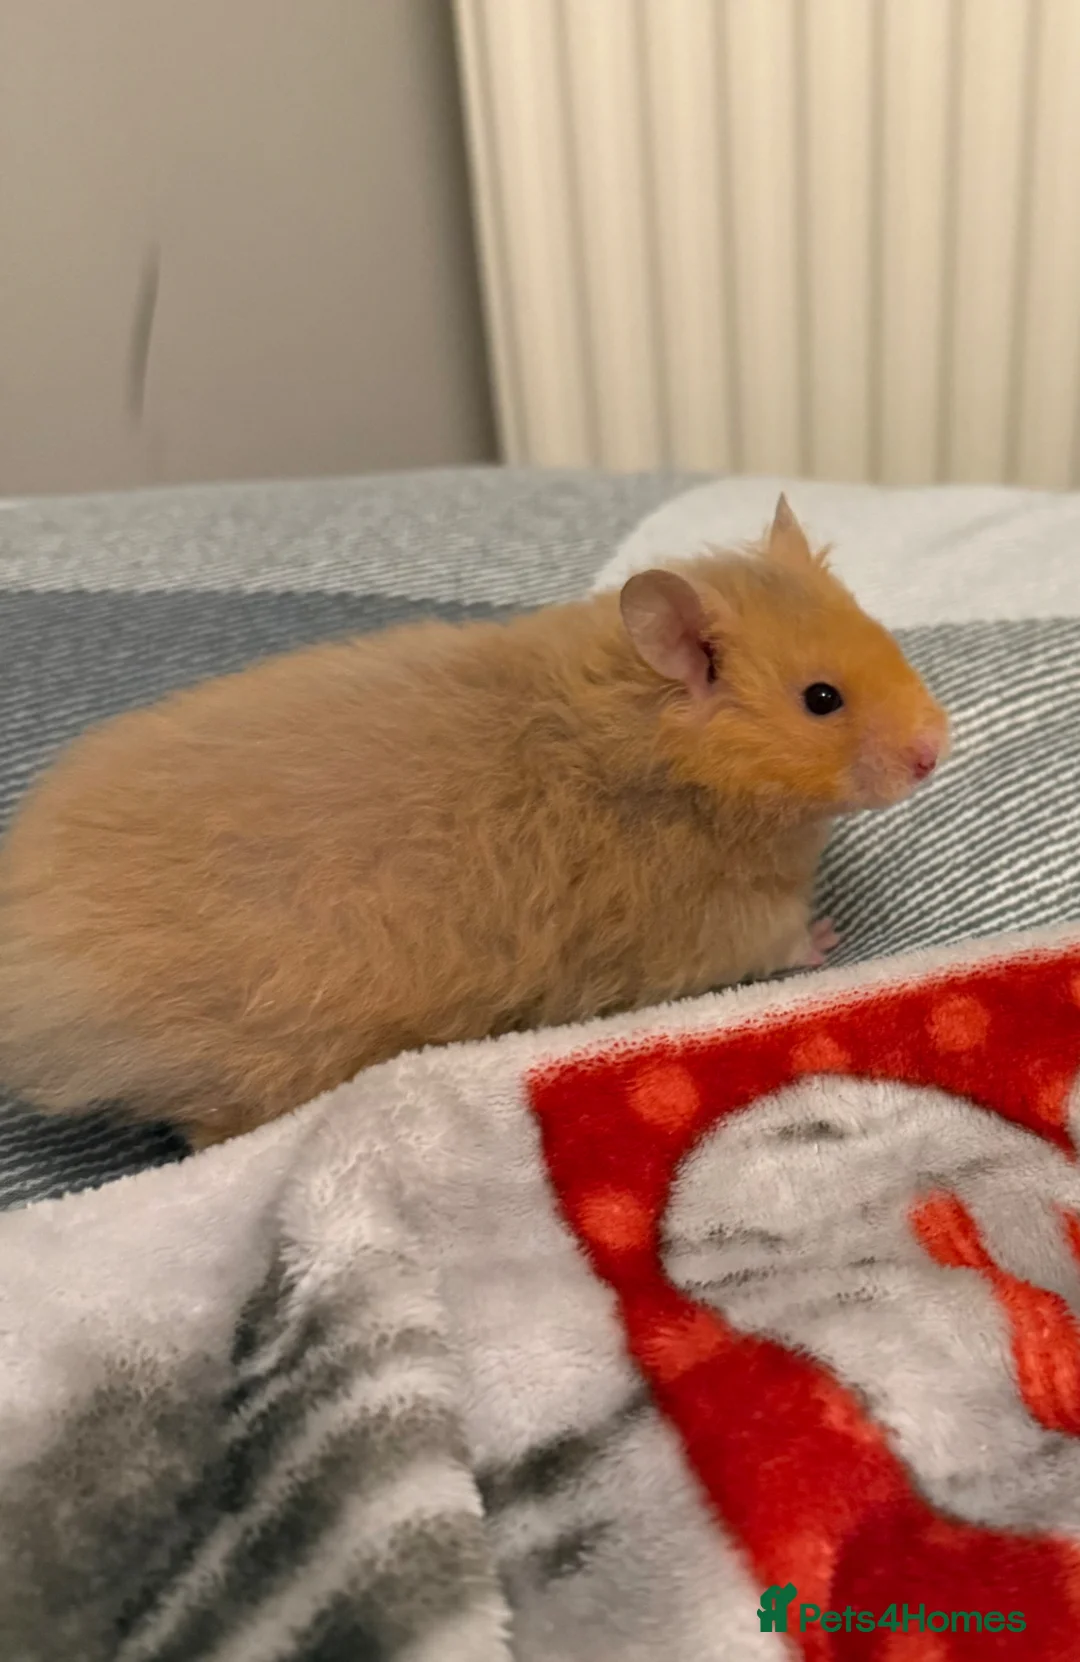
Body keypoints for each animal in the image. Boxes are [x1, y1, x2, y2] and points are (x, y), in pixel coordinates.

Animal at [0, 496, 948, 1148]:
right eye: (821, 699)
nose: (936, 749)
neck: (657, 745)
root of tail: (33, 975)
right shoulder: (720, 922)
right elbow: (781, 941)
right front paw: (829, 937)